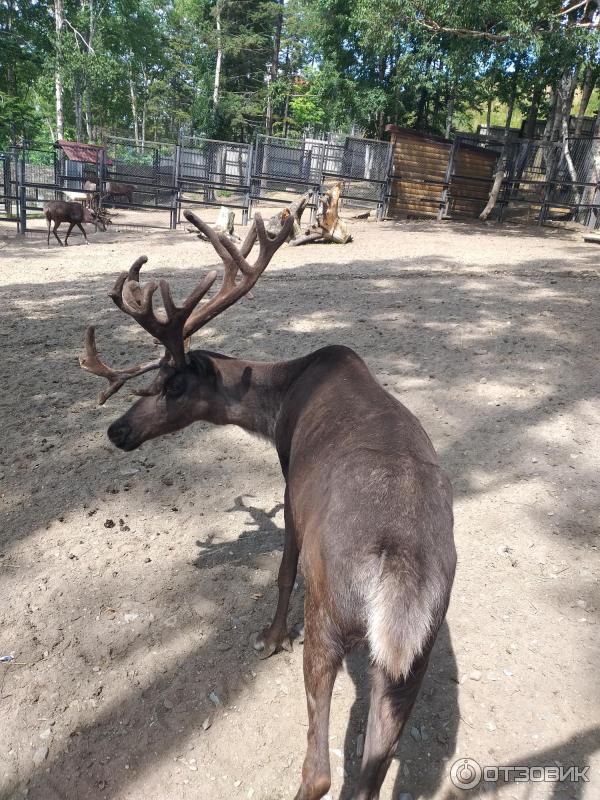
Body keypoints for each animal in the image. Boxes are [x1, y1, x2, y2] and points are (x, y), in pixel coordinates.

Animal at [78, 209, 454, 800]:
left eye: (173, 384)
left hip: (328, 613)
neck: (279, 400)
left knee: (320, 769)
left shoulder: (289, 483)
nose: (117, 431)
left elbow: (282, 571)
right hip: (416, 652)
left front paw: (270, 637)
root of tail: (402, 573)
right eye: (151, 379)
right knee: (372, 769)